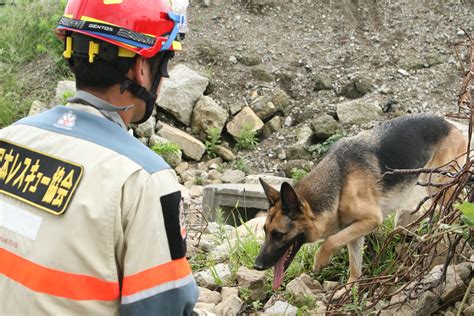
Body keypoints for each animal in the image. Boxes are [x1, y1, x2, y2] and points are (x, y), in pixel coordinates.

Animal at [254, 113, 464, 288]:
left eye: (278, 235)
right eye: (265, 231)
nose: (256, 266)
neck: (339, 184)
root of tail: (450, 124)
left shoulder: (371, 220)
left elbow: (330, 240)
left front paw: (320, 259)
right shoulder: (355, 230)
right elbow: (354, 265)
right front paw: (350, 289)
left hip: (440, 186)